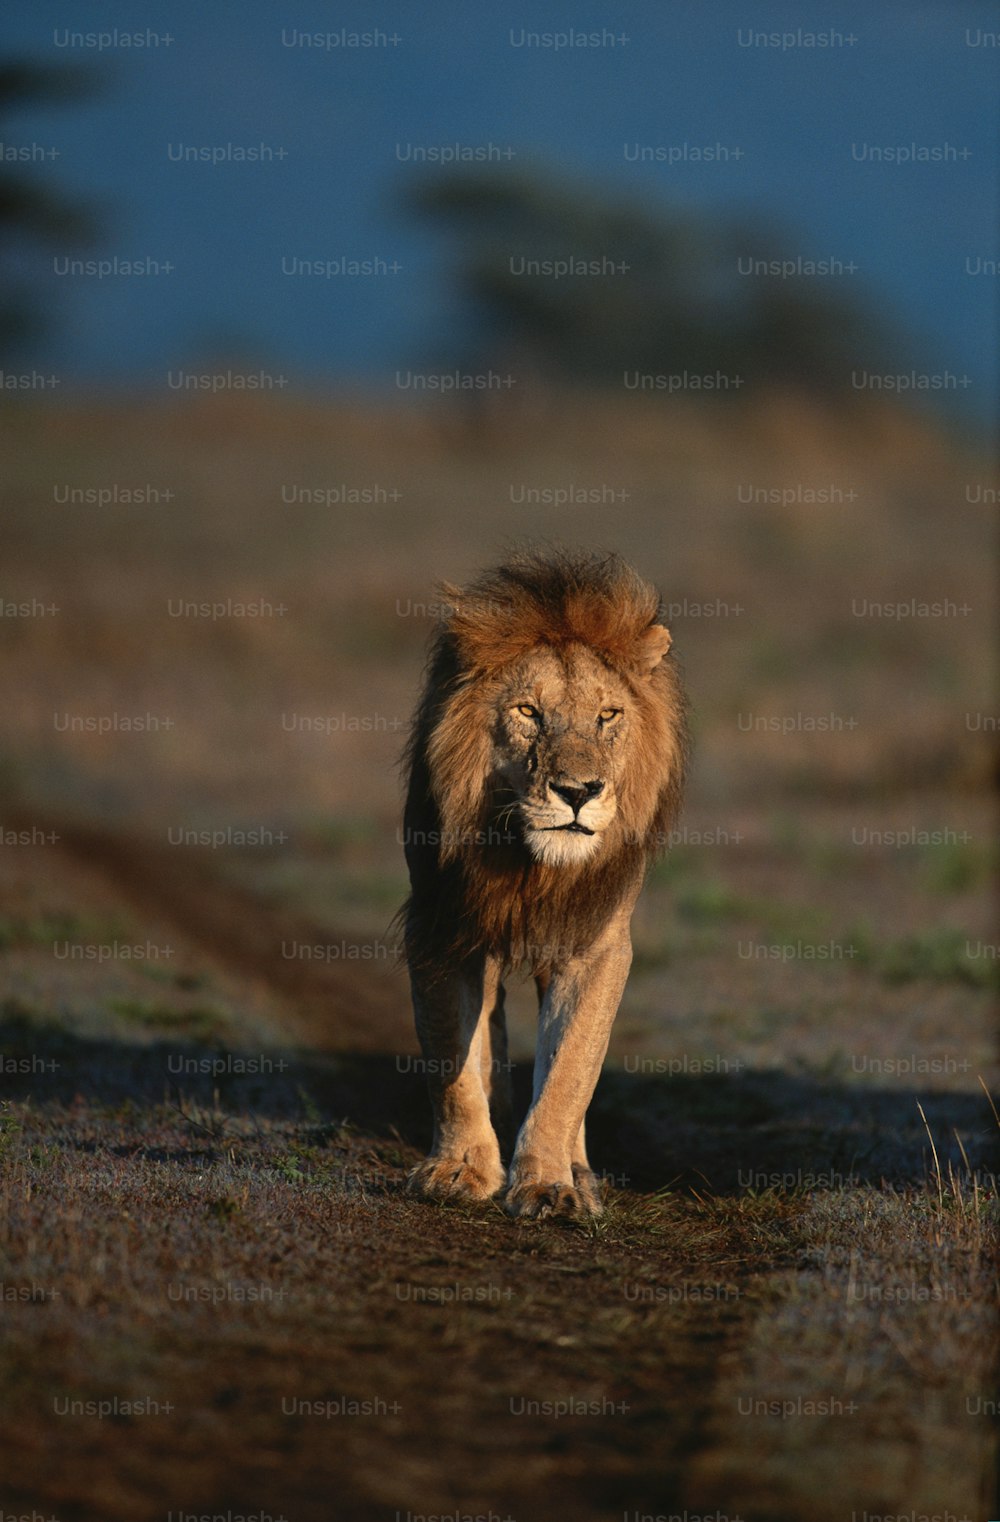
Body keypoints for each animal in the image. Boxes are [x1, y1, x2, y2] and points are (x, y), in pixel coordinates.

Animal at [398, 544, 687, 1211]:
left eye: (607, 715)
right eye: (528, 712)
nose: (579, 792)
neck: (531, 866)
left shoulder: (596, 944)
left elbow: (570, 1070)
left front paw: (549, 1182)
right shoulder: (439, 928)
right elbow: (452, 1059)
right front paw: (460, 1168)